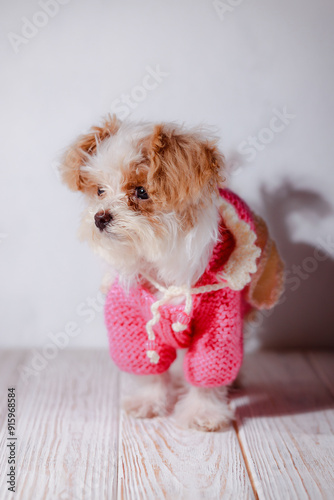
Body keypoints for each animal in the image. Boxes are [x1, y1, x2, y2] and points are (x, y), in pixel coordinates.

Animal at [60, 114, 284, 430]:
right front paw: (150, 401)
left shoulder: (219, 323)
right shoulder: (132, 318)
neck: (160, 259)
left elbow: (208, 369)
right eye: (100, 190)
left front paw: (204, 412)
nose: (99, 217)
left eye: (141, 192)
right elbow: (151, 367)